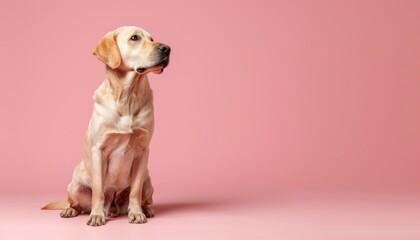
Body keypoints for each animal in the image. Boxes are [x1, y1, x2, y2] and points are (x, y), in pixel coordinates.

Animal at [42, 26, 171, 227]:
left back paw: (147, 210)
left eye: (152, 39)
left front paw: (136, 213)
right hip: (74, 183)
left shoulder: (143, 150)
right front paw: (96, 215)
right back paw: (71, 210)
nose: (167, 49)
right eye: (135, 38)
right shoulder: (99, 150)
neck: (128, 97)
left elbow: (135, 190)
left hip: (148, 180)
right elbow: (98, 189)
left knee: (145, 197)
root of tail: (114, 209)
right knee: (77, 204)